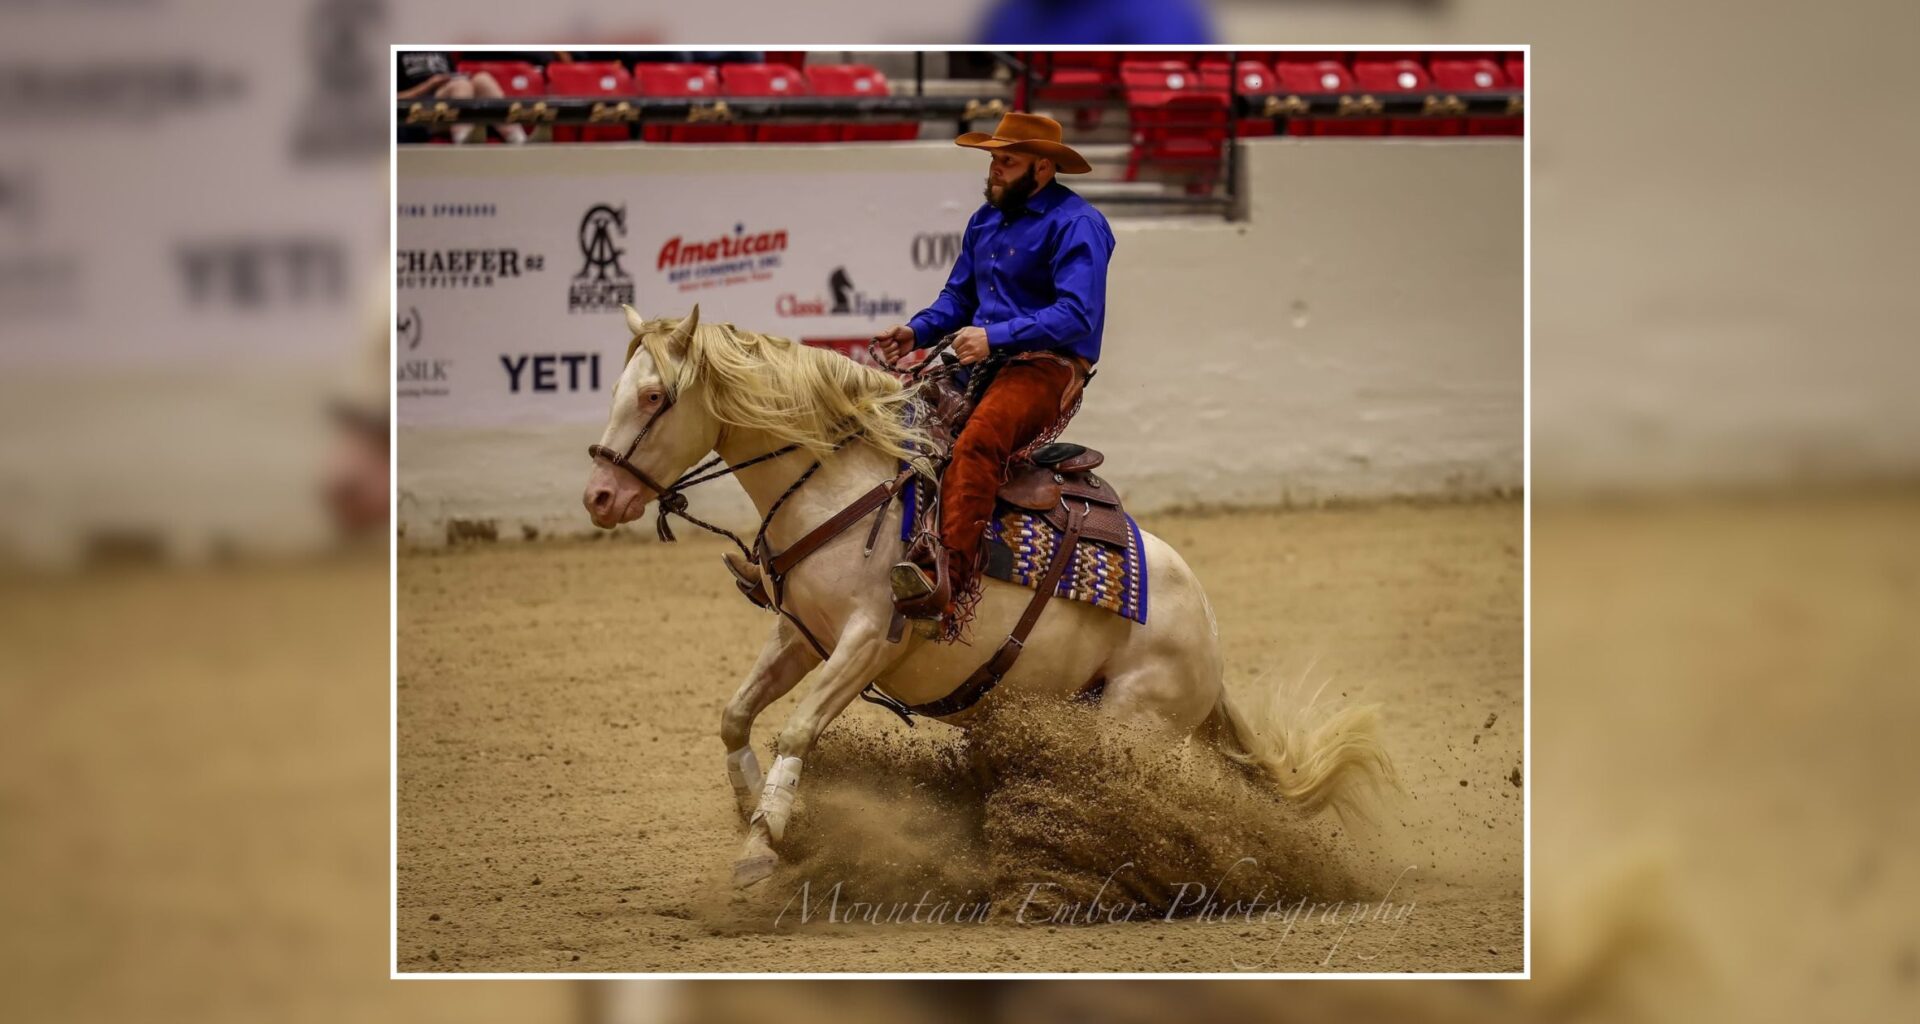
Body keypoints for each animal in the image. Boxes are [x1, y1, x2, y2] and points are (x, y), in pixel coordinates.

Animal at [582, 303, 1394, 888]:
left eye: (653, 396)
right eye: (614, 391)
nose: (598, 496)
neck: (838, 484)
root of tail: (1211, 635)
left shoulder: (867, 641)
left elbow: (796, 729)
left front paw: (763, 840)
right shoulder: (797, 635)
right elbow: (734, 714)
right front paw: (753, 809)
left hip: (1131, 725)